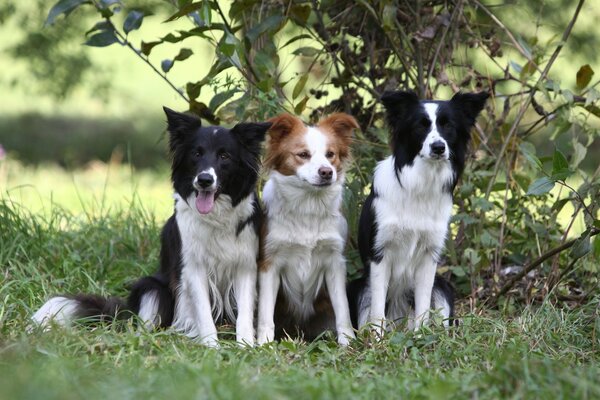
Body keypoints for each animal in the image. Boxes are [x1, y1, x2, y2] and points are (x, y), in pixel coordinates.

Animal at [30, 107, 270, 346]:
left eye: (224, 156)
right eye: (196, 154)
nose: (204, 180)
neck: (215, 217)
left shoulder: (245, 265)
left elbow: (245, 313)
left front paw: (246, 346)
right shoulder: (193, 268)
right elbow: (203, 314)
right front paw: (211, 347)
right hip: (151, 287)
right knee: (143, 326)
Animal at [346, 91, 488, 334]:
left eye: (448, 126)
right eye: (420, 126)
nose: (439, 147)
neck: (420, 184)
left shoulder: (428, 257)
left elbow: (423, 306)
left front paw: (421, 336)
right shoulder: (379, 255)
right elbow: (377, 310)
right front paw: (378, 339)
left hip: (443, 287)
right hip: (359, 287)